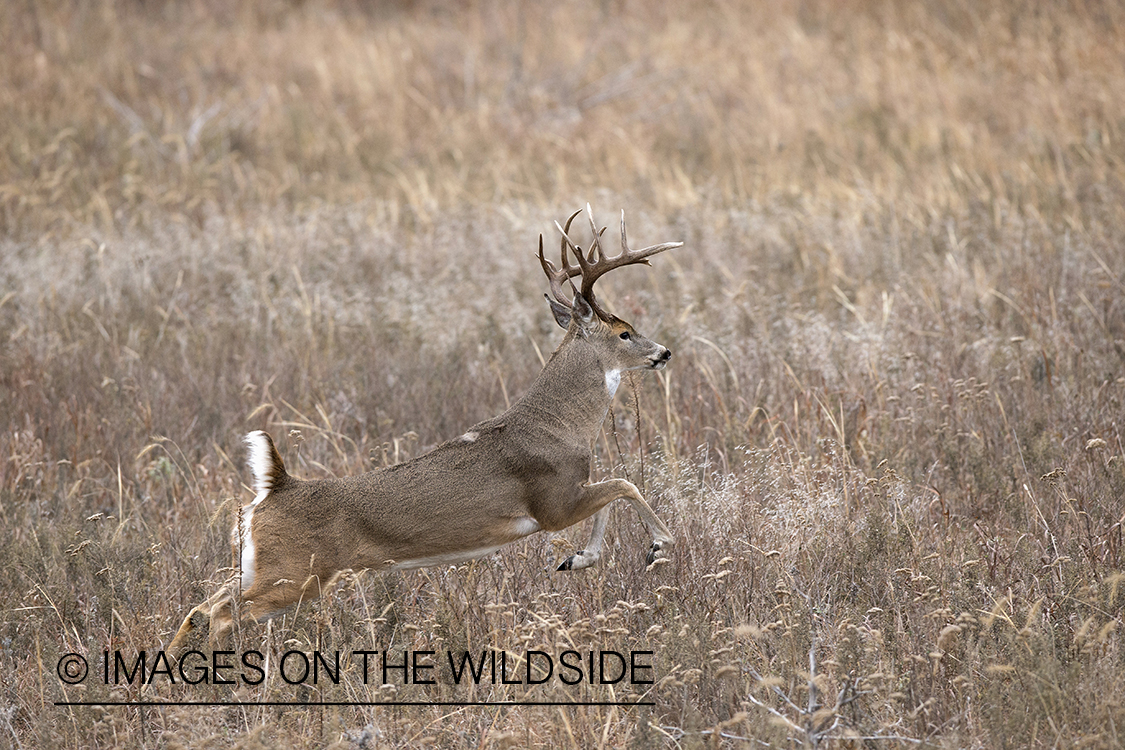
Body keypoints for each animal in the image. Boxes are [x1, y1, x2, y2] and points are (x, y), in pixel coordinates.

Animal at [166, 205, 675, 652]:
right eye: (625, 332)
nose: (664, 352)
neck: (561, 427)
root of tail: (276, 486)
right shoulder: (552, 502)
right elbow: (623, 485)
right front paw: (659, 545)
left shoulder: (567, 496)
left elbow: (611, 495)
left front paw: (578, 559)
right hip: (298, 573)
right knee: (222, 615)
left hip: (260, 565)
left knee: (200, 607)